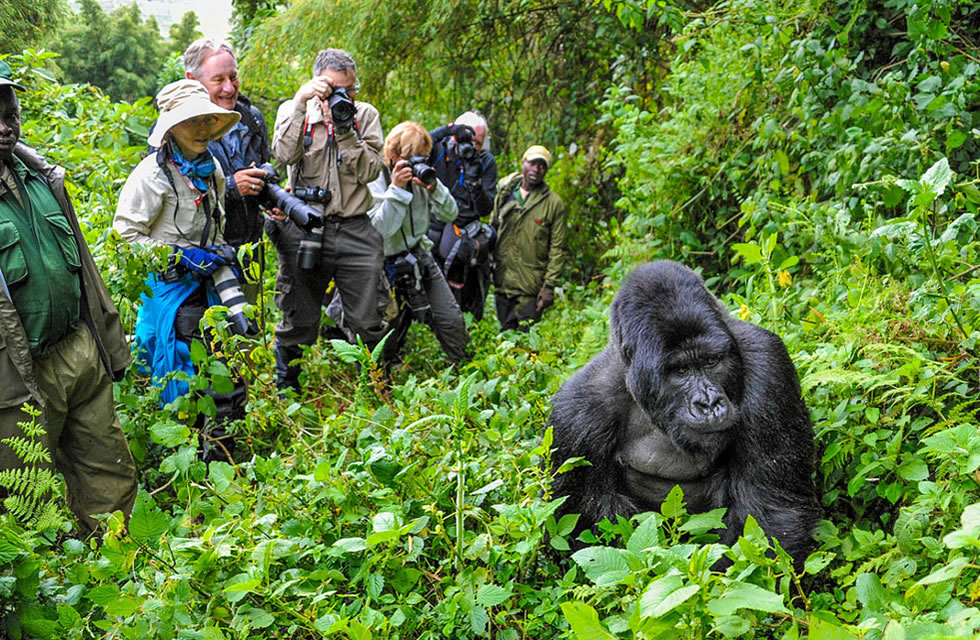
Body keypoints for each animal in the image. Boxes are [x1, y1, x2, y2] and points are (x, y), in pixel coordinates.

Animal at [552, 260, 820, 564]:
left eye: (711, 361)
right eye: (680, 370)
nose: (709, 404)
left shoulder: (768, 366)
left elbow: (770, 515)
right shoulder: (576, 417)